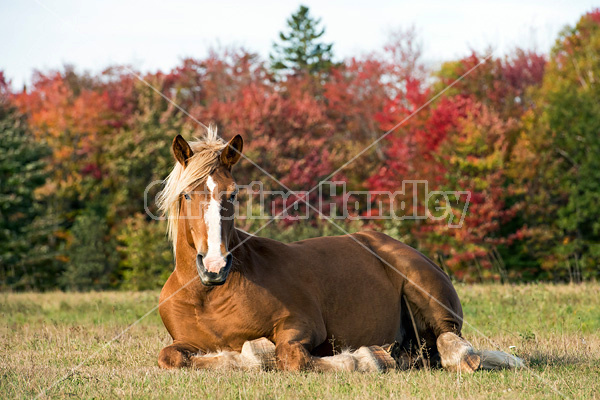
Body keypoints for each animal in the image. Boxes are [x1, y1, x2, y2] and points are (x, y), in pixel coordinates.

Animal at [157, 130, 524, 374]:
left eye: (232, 194)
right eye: (187, 195)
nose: (215, 266)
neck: (208, 296)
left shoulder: (302, 326)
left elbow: (291, 358)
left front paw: (367, 357)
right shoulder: (184, 343)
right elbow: (170, 356)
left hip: (428, 293)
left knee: (454, 345)